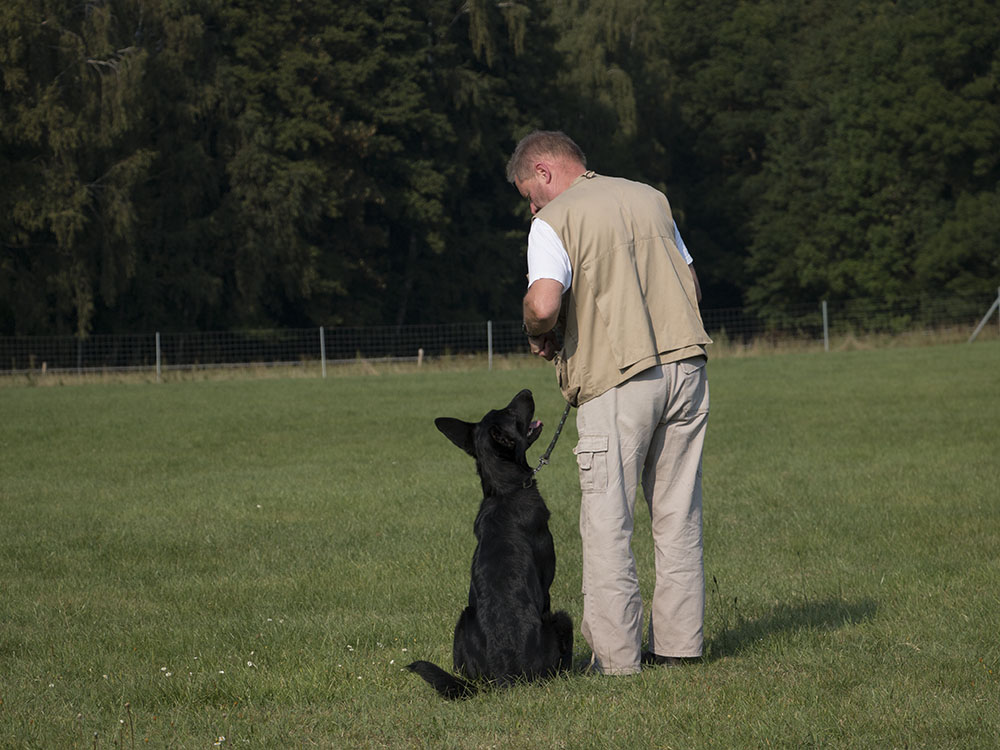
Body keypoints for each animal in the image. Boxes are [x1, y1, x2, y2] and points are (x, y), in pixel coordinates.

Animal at [406, 390, 576, 704]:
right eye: (509, 412)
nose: (526, 391)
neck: (504, 490)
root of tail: (506, 675)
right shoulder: (547, 588)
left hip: (463, 620)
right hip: (562, 620)